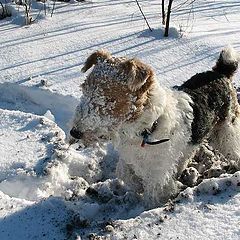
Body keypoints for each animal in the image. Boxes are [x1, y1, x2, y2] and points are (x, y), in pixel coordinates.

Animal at [69, 47, 240, 208]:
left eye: (111, 98)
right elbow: (124, 173)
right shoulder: (129, 156)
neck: (147, 128)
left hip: (226, 132)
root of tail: (221, 72)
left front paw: (149, 206)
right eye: (84, 88)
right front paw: (138, 185)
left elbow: (153, 194)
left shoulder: (158, 172)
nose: (74, 132)